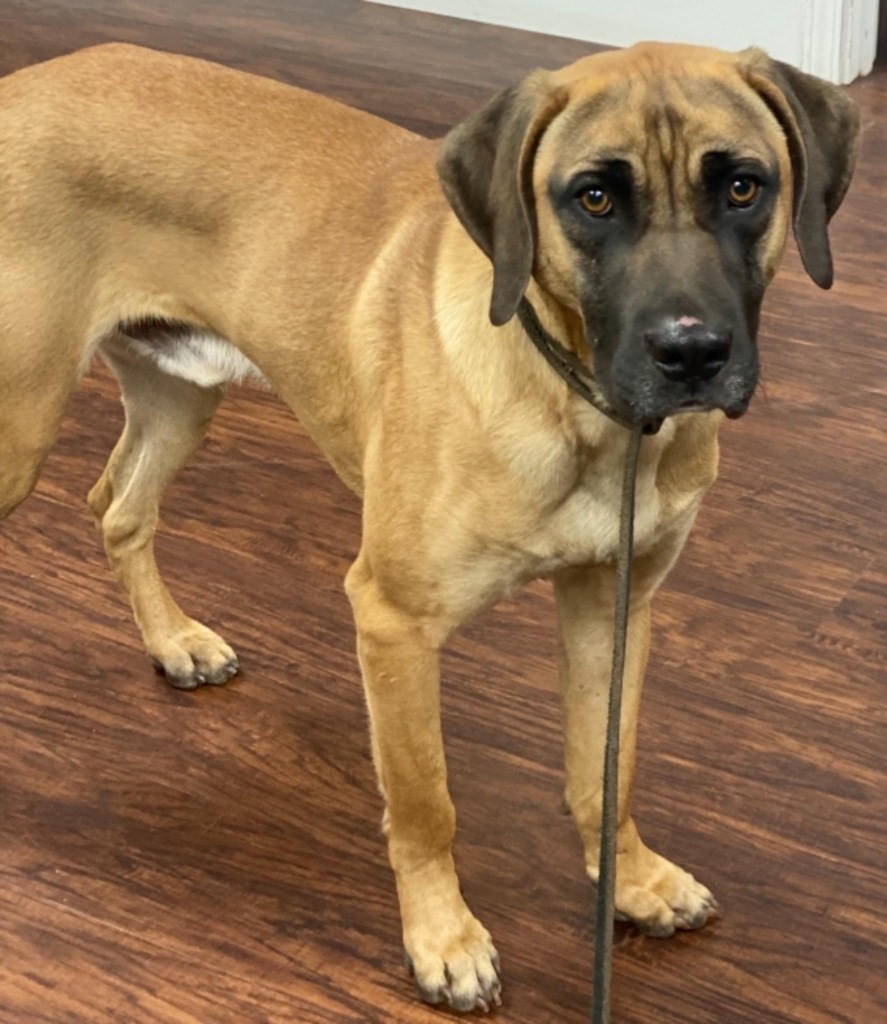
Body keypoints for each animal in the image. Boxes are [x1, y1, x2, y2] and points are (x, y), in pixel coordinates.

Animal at [0, 41, 856, 1015]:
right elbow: (423, 804)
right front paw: (442, 938)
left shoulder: (612, 605)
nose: (691, 354)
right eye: (594, 198)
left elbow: (606, 770)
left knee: (119, 507)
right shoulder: (393, 624)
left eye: (743, 186)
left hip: (180, 389)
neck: (576, 403)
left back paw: (174, 640)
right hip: (22, 425)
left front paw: (632, 880)